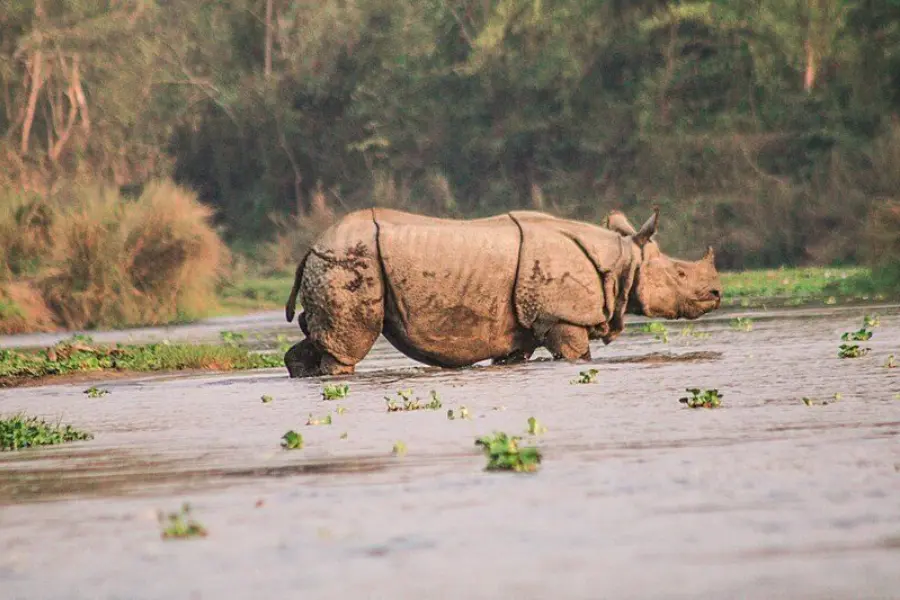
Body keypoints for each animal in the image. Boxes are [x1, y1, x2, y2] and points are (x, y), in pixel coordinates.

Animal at [283, 207, 721, 377]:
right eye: (681, 273)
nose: (717, 294)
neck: (622, 259)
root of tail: (311, 246)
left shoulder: (521, 330)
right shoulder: (562, 317)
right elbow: (577, 356)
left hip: (335, 261)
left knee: (318, 338)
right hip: (349, 261)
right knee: (348, 344)